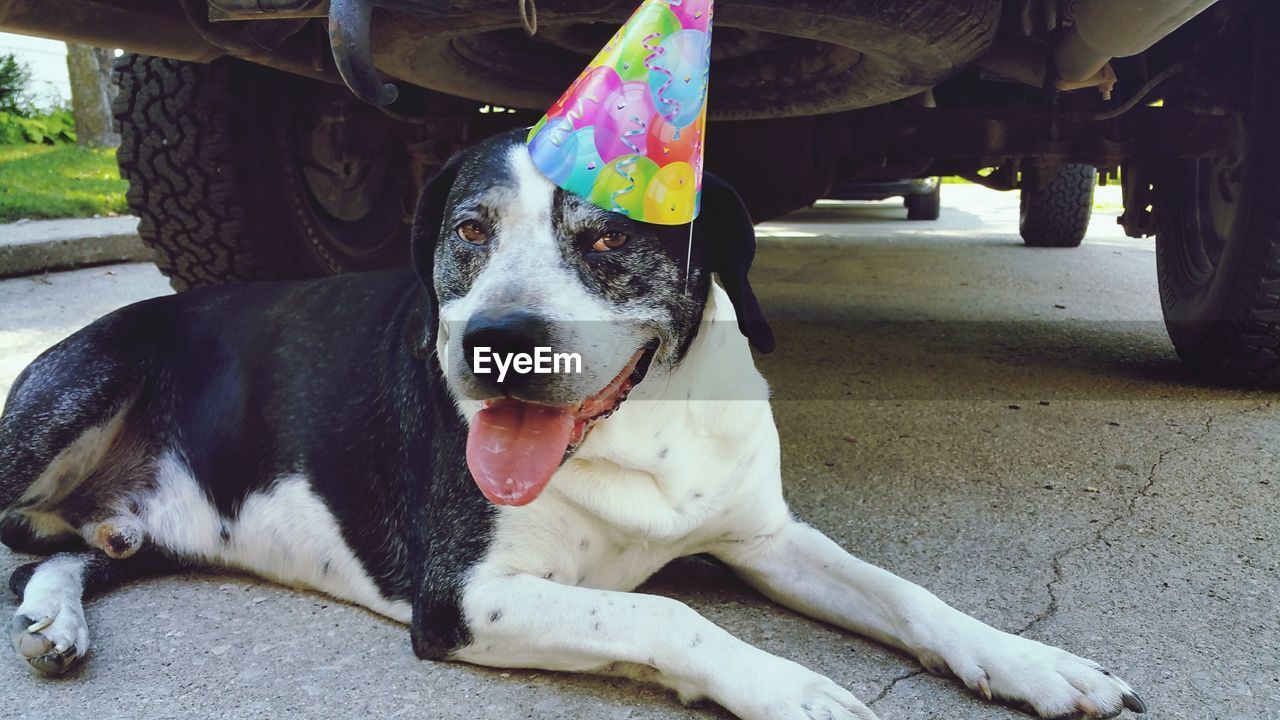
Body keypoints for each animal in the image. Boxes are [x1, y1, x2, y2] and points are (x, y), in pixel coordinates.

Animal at [0, 130, 1141, 717]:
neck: (643, 429)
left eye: (605, 239)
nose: (495, 342)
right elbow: (666, 615)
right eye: (468, 230)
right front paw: (798, 691)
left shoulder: (767, 539)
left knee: (62, 554)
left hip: (136, 520)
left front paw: (1030, 661)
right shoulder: (465, 597)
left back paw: (57, 616)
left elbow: (904, 594)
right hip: (74, 400)